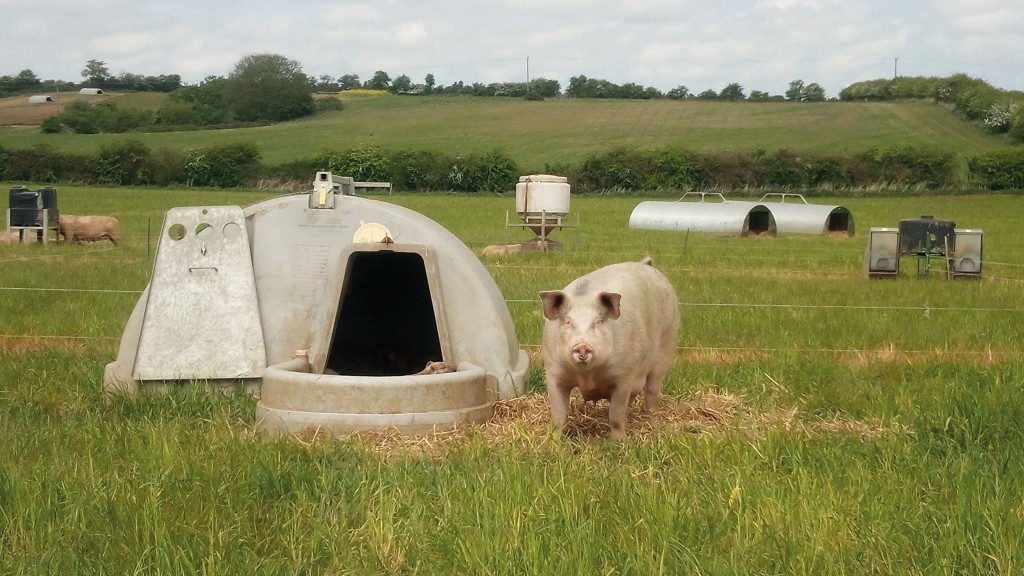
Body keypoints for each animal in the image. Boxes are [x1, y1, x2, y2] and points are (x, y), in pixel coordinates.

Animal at [536, 258, 679, 436]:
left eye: (598, 321)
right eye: (568, 321)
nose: (582, 345)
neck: (588, 375)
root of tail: (645, 265)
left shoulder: (624, 376)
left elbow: (616, 414)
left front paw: (619, 440)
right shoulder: (553, 373)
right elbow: (558, 415)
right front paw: (552, 439)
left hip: (667, 342)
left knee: (653, 389)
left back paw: (650, 416)